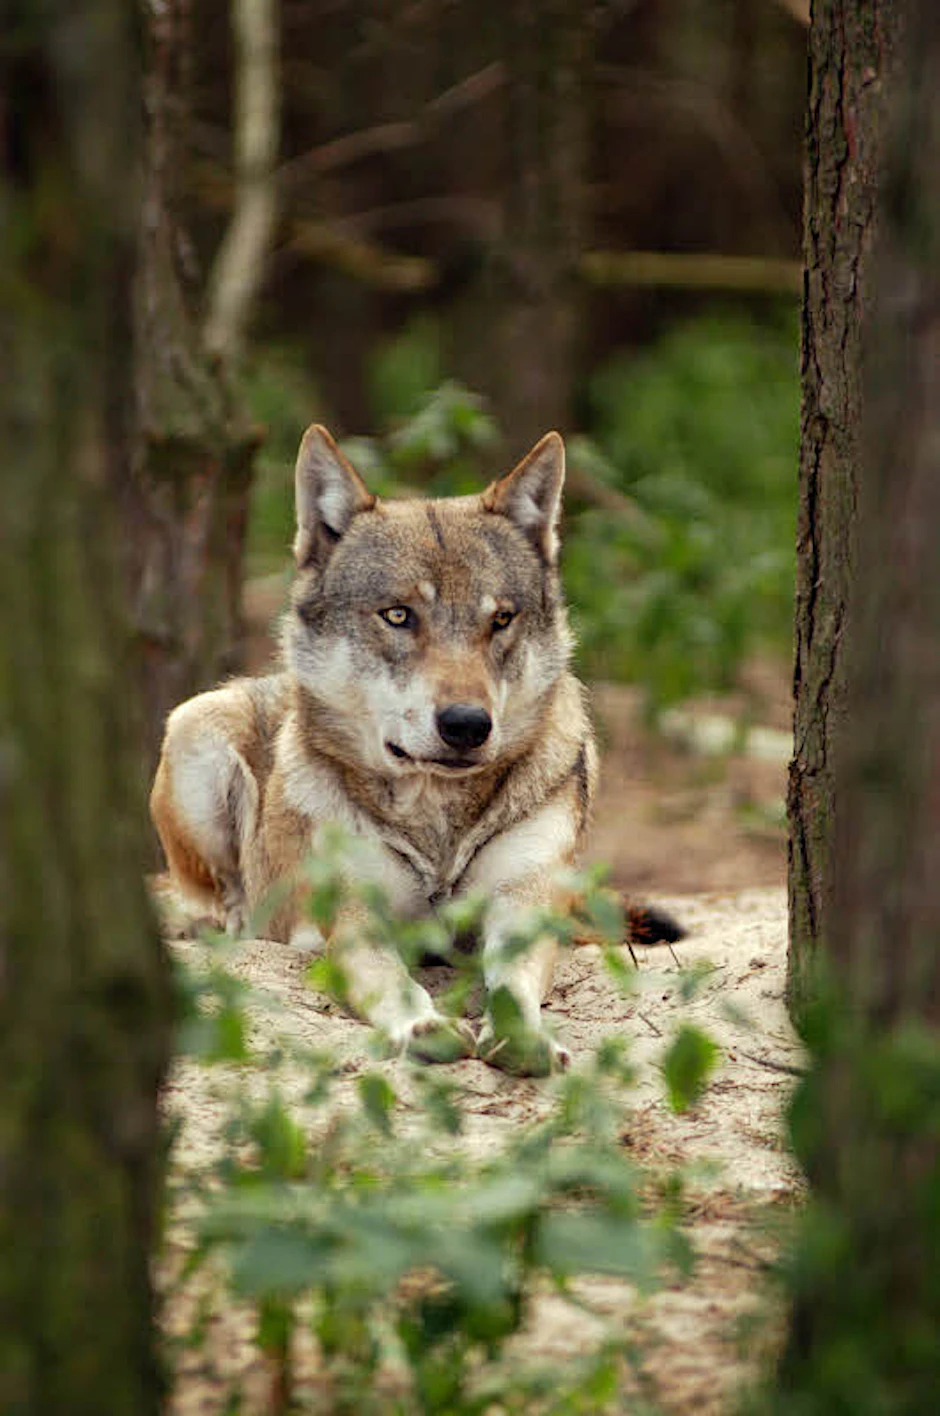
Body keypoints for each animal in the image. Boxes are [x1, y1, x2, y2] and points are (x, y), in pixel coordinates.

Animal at [151, 425, 675, 1075]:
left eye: (501, 619)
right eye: (399, 615)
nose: (467, 725)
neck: (437, 826)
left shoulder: (523, 907)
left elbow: (514, 982)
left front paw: (524, 1038)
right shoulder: (356, 920)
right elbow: (392, 981)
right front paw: (423, 1025)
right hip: (195, 724)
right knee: (217, 899)